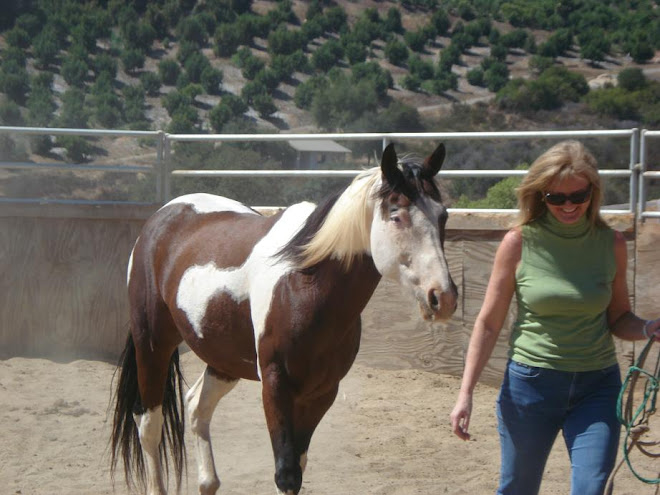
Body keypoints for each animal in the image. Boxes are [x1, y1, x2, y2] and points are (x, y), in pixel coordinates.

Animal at [110, 142, 458, 495]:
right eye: (397, 216)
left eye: (442, 215)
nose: (443, 297)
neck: (303, 284)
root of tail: (162, 217)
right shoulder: (275, 386)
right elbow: (286, 473)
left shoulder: (322, 392)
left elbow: (298, 469)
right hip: (152, 345)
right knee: (149, 424)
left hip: (223, 360)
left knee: (196, 407)